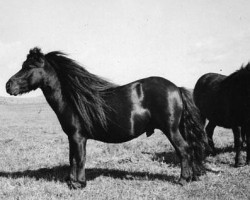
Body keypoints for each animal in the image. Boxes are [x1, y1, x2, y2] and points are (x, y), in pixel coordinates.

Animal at [6, 47, 209, 188]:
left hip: (171, 130)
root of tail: (176, 88)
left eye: (28, 67)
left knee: (184, 150)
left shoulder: (78, 137)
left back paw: (183, 180)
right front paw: (71, 181)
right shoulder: (72, 137)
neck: (72, 98)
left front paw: (79, 184)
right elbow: (72, 159)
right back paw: (191, 177)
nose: (8, 85)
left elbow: (79, 159)